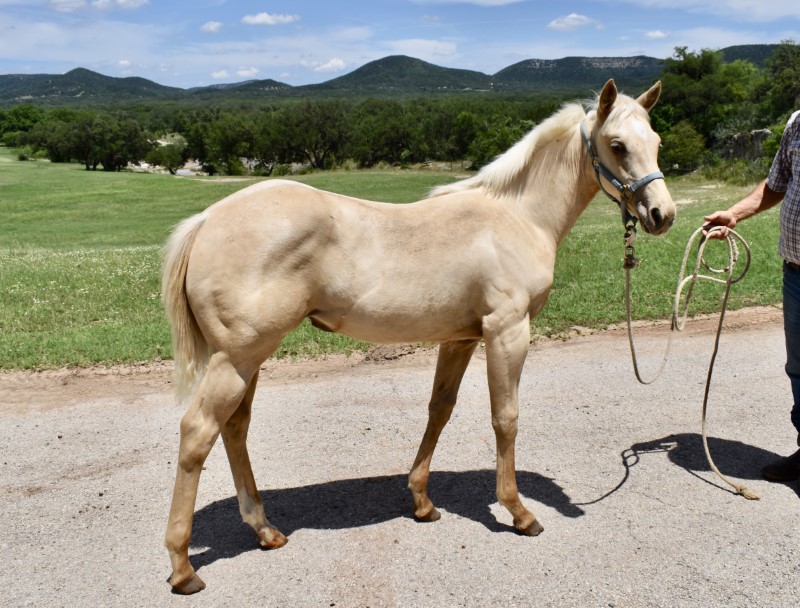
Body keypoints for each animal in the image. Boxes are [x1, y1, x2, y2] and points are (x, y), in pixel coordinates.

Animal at [162, 78, 676, 592]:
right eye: (617, 145)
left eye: (656, 142)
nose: (661, 214)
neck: (516, 218)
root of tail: (206, 221)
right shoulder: (507, 331)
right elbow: (505, 418)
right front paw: (519, 512)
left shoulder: (461, 338)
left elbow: (439, 411)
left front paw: (422, 502)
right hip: (238, 358)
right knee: (198, 432)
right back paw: (183, 567)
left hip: (247, 360)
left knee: (235, 429)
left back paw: (265, 530)